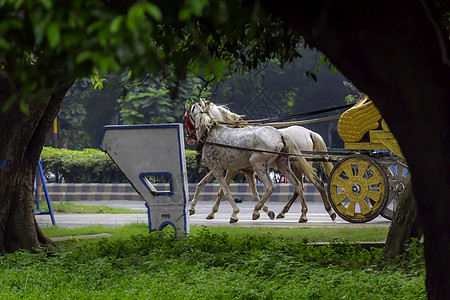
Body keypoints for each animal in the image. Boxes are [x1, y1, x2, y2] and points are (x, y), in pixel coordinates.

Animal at [185, 99, 336, 221]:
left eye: (186, 117)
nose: (188, 137)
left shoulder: (228, 169)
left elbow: (223, 191)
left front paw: (223, 212)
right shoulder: (241, 170)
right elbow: (202, 184)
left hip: (282, 163)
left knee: (304, 184)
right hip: (286, 164)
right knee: (299, 185)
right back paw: (300, 213)